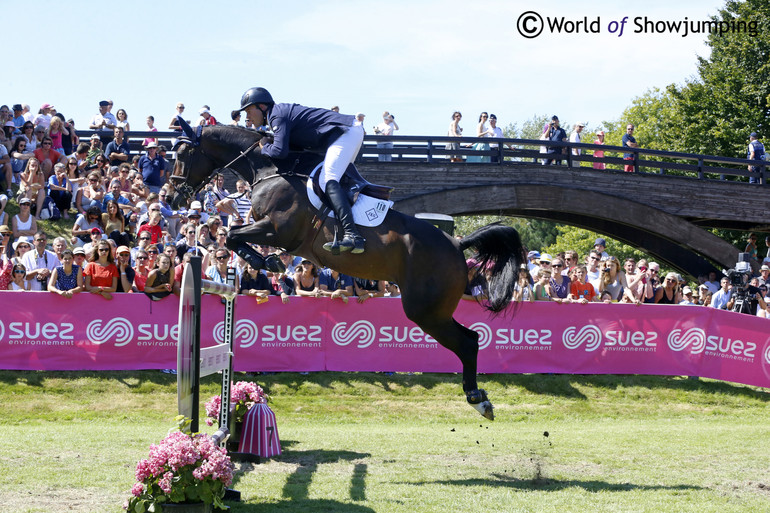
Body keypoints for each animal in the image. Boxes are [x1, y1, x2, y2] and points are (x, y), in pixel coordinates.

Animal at [170, 121, 524, 420]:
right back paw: (478, 398)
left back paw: (478, 399)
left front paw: (266, 262)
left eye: (183, 154)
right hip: (431, 310)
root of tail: (457, 244)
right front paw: (267, 263)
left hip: (426, 310)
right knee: (470, 339)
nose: (174, 197)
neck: (270, 170)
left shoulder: (278, 231)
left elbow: (233, 235)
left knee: (468, 342)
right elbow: (233, 234)